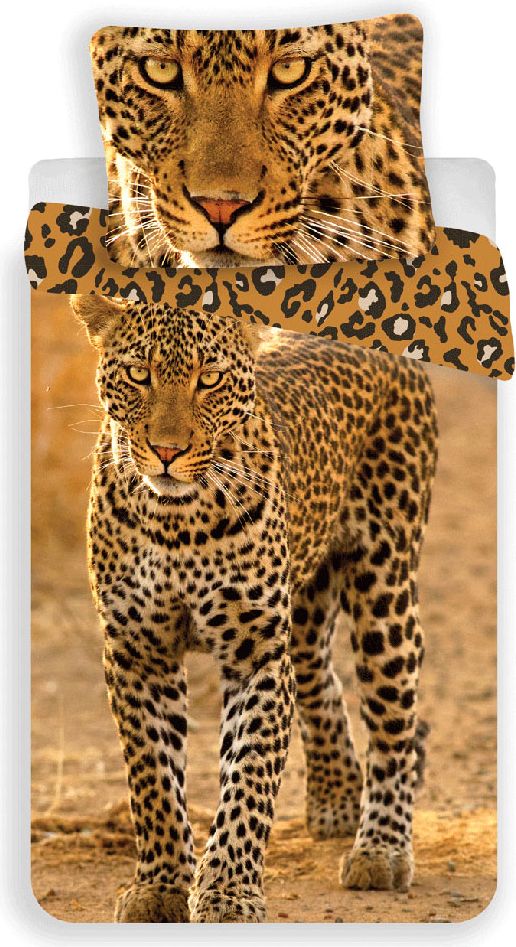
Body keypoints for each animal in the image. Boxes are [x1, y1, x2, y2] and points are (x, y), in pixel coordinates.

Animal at [71, 291, 438, 923]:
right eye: (138, 375)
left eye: (210, 379)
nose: (167, 451)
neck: (178, 522)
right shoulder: (137, 653)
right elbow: (153, 779)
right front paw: (159, 887)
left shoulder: (257, 653)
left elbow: (249, 777)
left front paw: (227, 893)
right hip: (307, 599)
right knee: (318, 676)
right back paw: (337, 798)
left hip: (385, 585)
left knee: (393, 718)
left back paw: (381, 848)